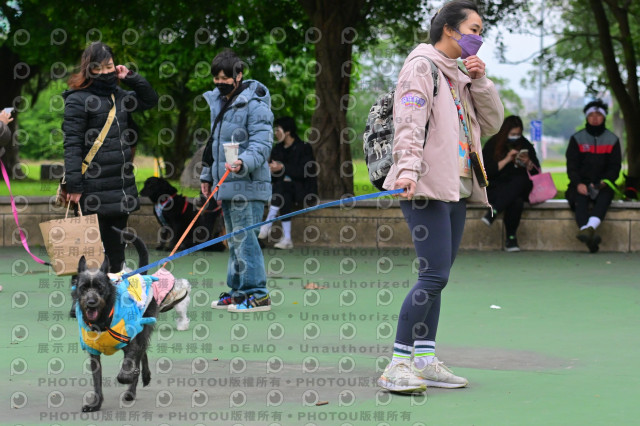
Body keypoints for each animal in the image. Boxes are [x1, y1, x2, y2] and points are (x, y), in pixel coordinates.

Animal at [71, 228, 191, 412]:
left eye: (100, 287)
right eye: (83, 288)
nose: (91, 302)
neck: (103, 320)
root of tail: (140, 274)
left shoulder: (130, 343)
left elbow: (128, 366)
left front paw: (128, 376)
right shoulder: (94, 354)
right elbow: (97, 381)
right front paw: (95, 404)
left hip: (143, 328)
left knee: (140, 353)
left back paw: (133, 389)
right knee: (143, 353)